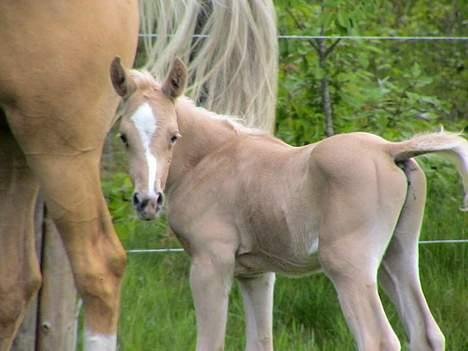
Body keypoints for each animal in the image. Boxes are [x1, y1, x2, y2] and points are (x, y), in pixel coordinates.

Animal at [110, 58, 468, 351]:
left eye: (174, 136)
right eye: (124, 137)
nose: (147, 201)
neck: (210, 159)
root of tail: (389, 150)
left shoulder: (210, 264)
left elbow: (211, 343)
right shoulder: (256, 274)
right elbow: (260, 342)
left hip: (349, 266)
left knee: (379, 339)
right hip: (398, 256)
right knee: (427, 333)